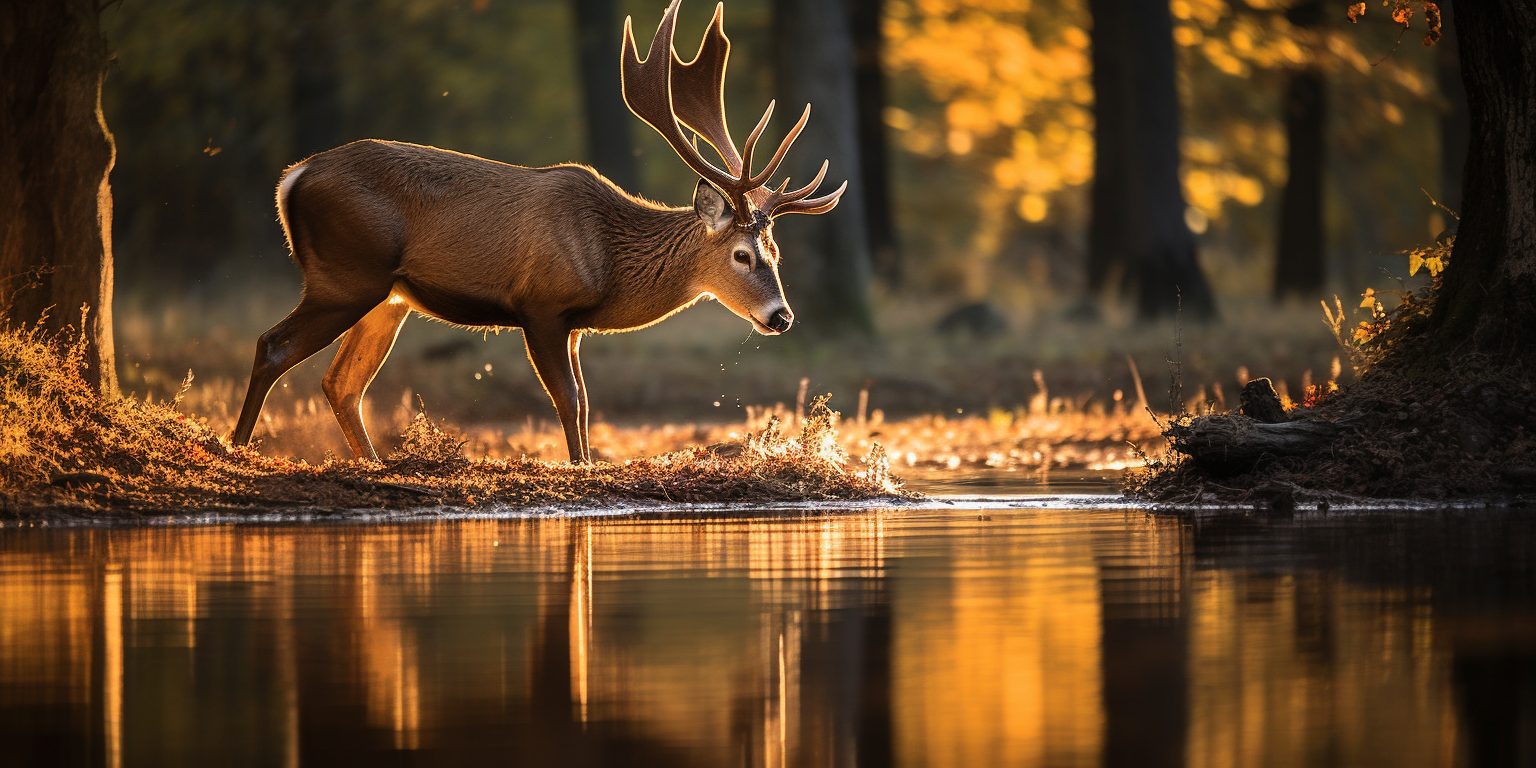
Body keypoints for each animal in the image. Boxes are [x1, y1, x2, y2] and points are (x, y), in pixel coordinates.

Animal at [227, 1, 847, 460]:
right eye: (743, 254)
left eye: (777, 252)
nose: (782, 316)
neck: (608, 260)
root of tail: (293, 178)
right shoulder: (541, 305)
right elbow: (568, 400)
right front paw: (580, 468)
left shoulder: (573, 326)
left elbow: (586, 401)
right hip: (346, 275)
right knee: (274, 345)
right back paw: (236, 449)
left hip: (389, 297)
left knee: (342, 382)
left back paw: (372, 464)